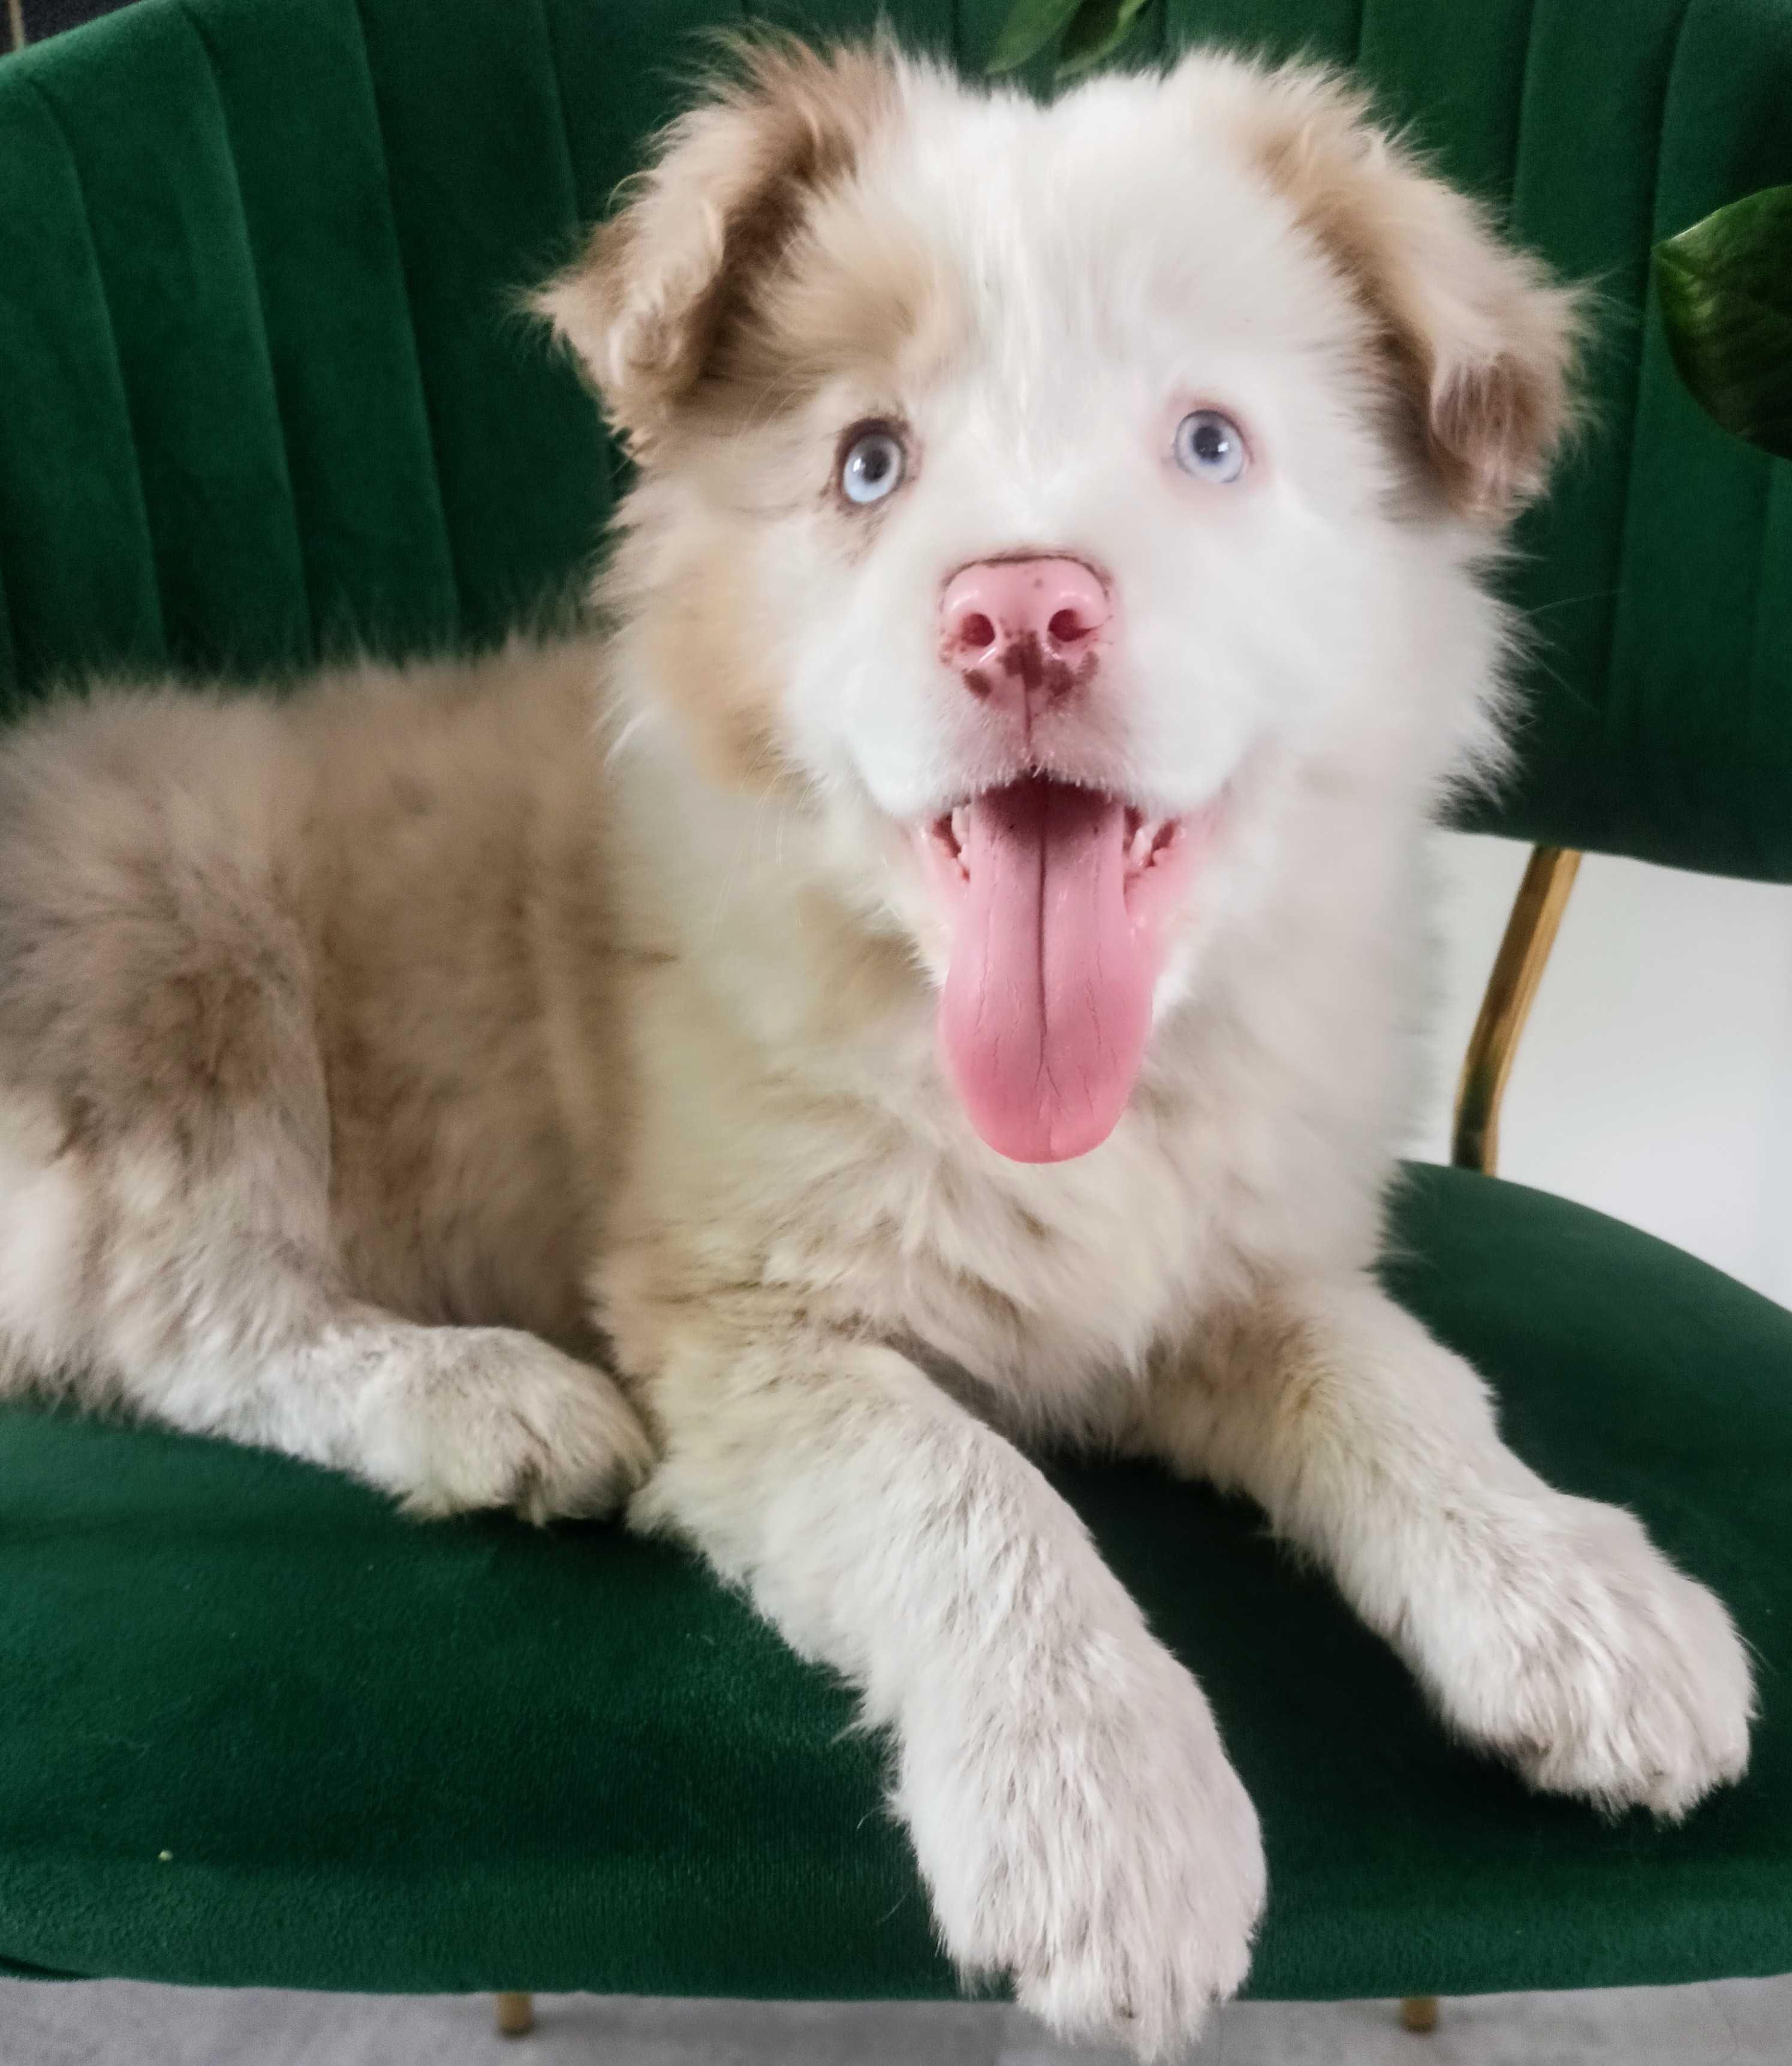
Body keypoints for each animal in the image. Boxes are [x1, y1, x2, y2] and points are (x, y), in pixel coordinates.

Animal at [0, 40, 1752, 2058]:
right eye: (867, 461)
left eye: (1209, 442)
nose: (1019, 616)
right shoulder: (740, 1318)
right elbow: (964, 1489)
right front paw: (1102, 1818)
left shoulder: (1236, 1258)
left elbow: (1399, 1380)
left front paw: (1579, 1602)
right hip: (170, 943)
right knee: (188, 1319)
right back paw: (483, 1398)